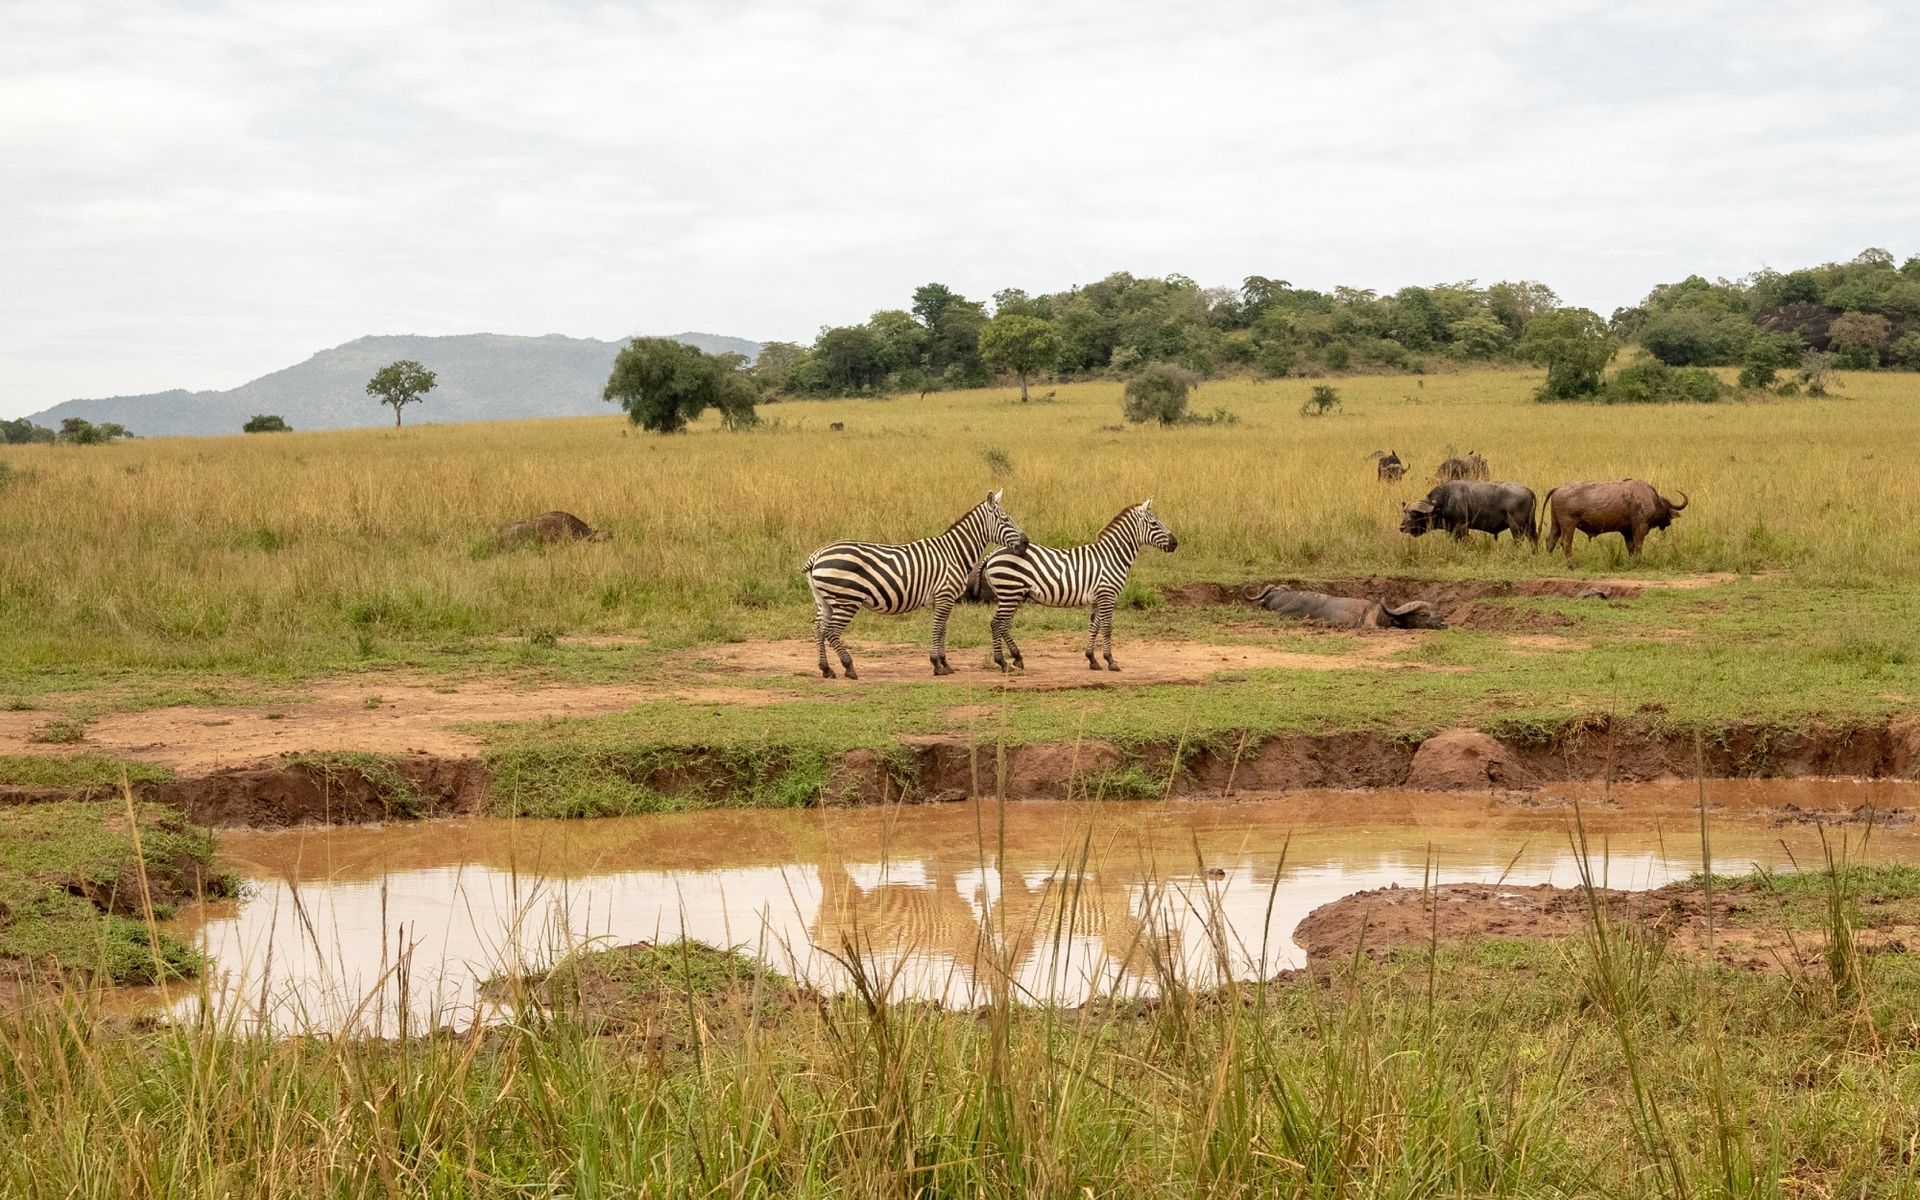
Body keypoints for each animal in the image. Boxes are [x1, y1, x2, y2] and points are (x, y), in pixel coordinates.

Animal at [804, 490, 1030, 679]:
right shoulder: (945, 595)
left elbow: (942, 629)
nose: (1026, 542)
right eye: (1005, 519)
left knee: (819, 628)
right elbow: (938, 628)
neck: (954, 553)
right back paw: (849, 667)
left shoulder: (941, 600)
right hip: (846, 600)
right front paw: (937, 665)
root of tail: (817, 555)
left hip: (824, 600)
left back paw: (826, 669)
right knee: (831, 631)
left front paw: (944, 664)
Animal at [981, 499, 1178, 673]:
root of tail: (993, 553)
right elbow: (1107, 628)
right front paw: (1111, 661)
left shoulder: (1098, 598)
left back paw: (1017, 658)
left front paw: (1092, 659)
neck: (1112, 557)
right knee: (997, 623)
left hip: (1014, 594)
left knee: (1004, 624)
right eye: (1154, 523)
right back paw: (1002, 662)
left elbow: (1095, 626)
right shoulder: (1107, 595)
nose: (1175, 543)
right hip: (1010, 592)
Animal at [1400, 481, 1538, 544]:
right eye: (1405, 513)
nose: (1401, 527)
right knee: (1534, 538)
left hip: (1516, 527)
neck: (1445, 501)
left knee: (1519, 541)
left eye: (1415, 514)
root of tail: (1528, 490)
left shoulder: (1461, 528)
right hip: (1529, 526)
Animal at [1541, 479, 1689, 563]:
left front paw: (1631, 561)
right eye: (1666, 509)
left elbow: (1631, 547)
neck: (1652, 499)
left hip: (1556, 524)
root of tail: (1558, 488)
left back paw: (1549, 560)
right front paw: (1639, 561)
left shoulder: (1626, 531)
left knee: (1551, 540)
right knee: (1565, 542)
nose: (1668, 522)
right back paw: (1572, 564)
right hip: (1568, 525)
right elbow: (1638, 545)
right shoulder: (1640, 527)